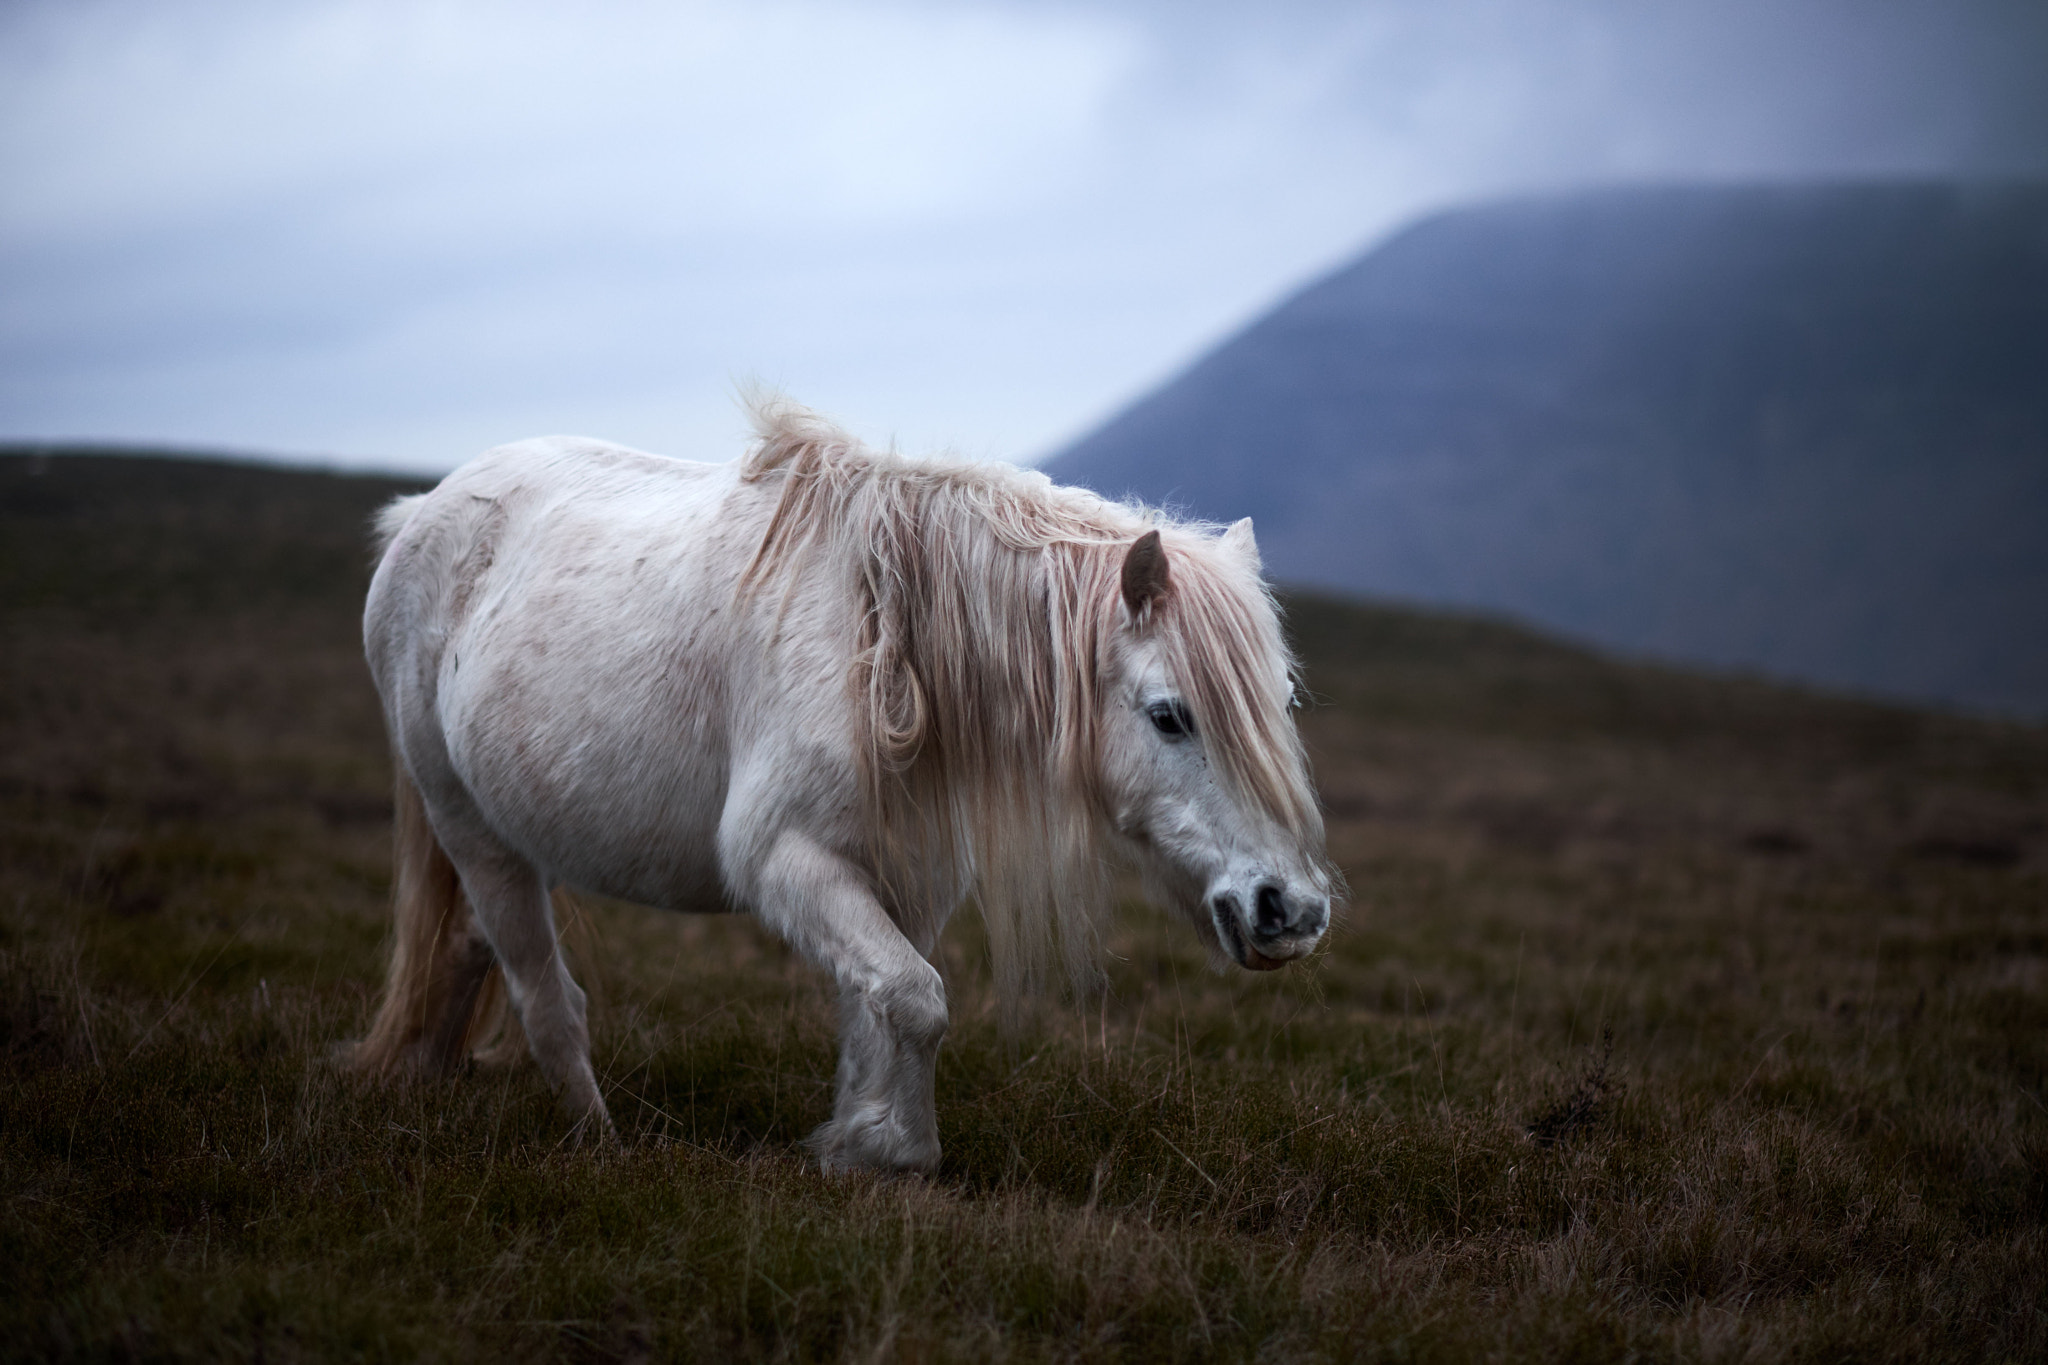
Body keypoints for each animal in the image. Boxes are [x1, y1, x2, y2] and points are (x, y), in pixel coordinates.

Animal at [349, 395, 1335, 1172]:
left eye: (1283, 700)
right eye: (1170, 715)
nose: (1289, 910)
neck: (893, 657)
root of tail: (420, 515)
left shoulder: (911, 881)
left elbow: (884, 1007)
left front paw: (861, 1143)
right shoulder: (787, 860)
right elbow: (914, 1000)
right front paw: (889, 1149)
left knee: (467, 950)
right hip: (471, 829)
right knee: (546, 999)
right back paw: (600, 1144)